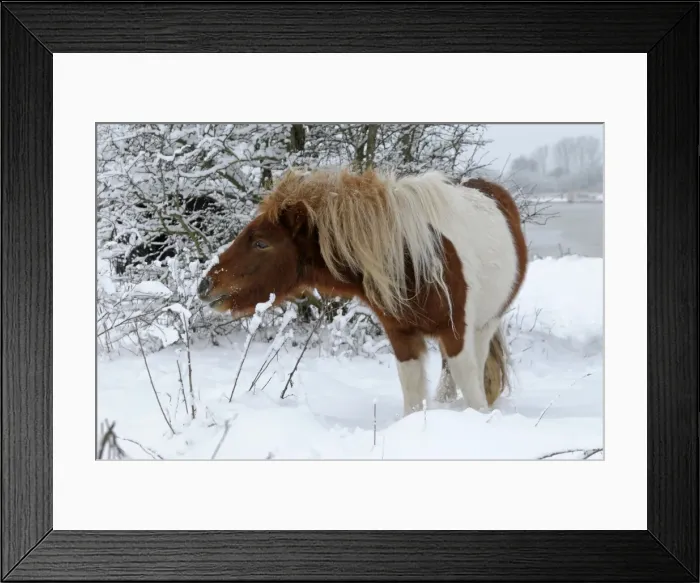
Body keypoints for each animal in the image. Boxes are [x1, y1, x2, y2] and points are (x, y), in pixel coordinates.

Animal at [197, 167, 528, 416]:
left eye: (261, 243)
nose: (205, 285)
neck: (410, 257)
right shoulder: (401, 336)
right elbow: (412, 396)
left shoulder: (456, 332)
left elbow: (472, 391)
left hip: (485, 326)